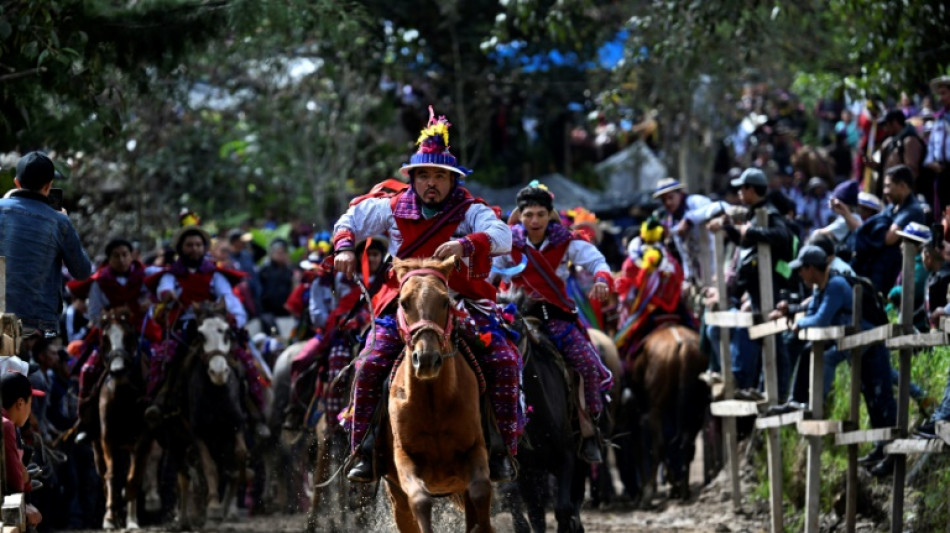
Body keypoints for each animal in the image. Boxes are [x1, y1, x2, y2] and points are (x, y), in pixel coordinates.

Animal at [93, 306, 154, 528]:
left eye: (128, 336)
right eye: (105, 338)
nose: (118, 369)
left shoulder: (143, 436)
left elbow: (133, 477)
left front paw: (131, 517)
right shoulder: (107, 435)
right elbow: (111, 475)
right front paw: (110, 517)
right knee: (103, 474)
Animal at [384, 256, 494, 532]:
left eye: (445, 301)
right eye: (403, 302)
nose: (426, 360)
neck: (433, 402)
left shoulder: (475, 449)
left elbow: (481, 490)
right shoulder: (404, 457)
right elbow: (419, 499)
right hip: (395, 497)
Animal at [624, 324, 708, 502]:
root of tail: (683, 345)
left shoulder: (638, 414)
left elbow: (641, 448)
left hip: (655, 409)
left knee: (660, 446)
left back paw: (652, 491)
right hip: (698, 406)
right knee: (686, 443)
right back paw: (683, 488)